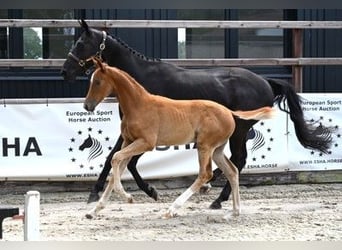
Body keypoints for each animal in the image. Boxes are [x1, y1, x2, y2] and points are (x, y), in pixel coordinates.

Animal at [83, 58, 276, 219]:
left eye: (98, 81)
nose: (87, 106)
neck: (139, 105)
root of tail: (229, 112)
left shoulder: (145, 143)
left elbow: (115, 159)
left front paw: (128, 197)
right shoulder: (128, 141)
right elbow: (116, 166)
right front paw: (94, 210)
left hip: (204, 146)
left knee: (205, 174)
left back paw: (173, 209)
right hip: (216, 150)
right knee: (232, 171)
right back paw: (235, 211)